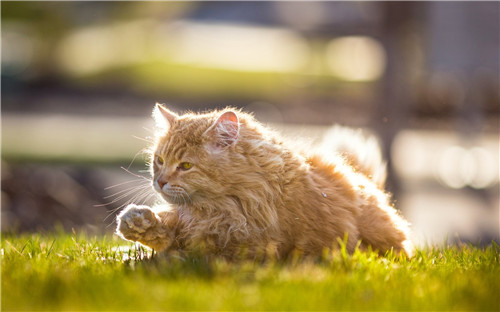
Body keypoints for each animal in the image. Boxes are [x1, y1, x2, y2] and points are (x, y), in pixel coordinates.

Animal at [117, 105, 414, 258]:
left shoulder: (242, 244)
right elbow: (166, 230)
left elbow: (182, 249)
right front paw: (137, 223)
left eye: (186, 166)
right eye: (159, 160)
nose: (159, 181)